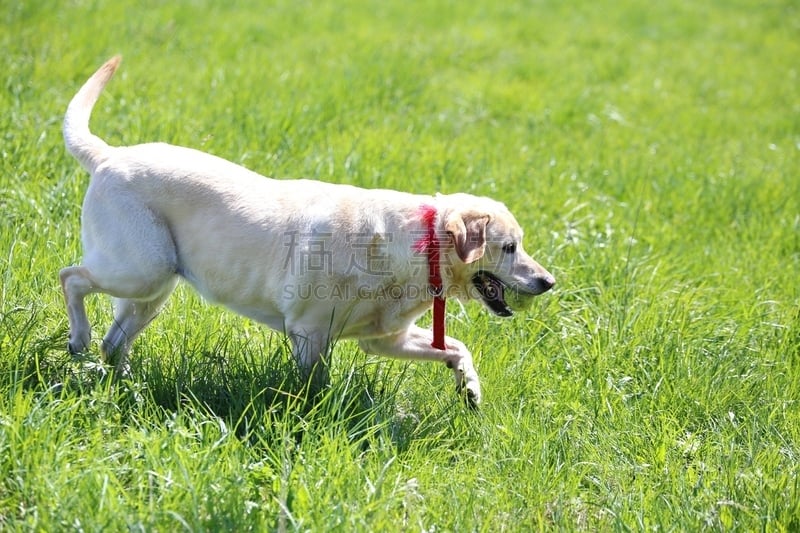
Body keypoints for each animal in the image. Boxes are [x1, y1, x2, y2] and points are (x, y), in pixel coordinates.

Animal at [61, 57, 556, 404]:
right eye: (509, 247)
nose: (549, 282)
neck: (417, 249)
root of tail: (108, 155)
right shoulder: (310, 334)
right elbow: (317, 390)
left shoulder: (385, 340)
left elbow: (457, 346)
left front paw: (469, 387)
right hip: (144, 269)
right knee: (72, 278)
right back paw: (78, 339)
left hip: (151, 291)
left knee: (113, 341)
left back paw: (123, 382)